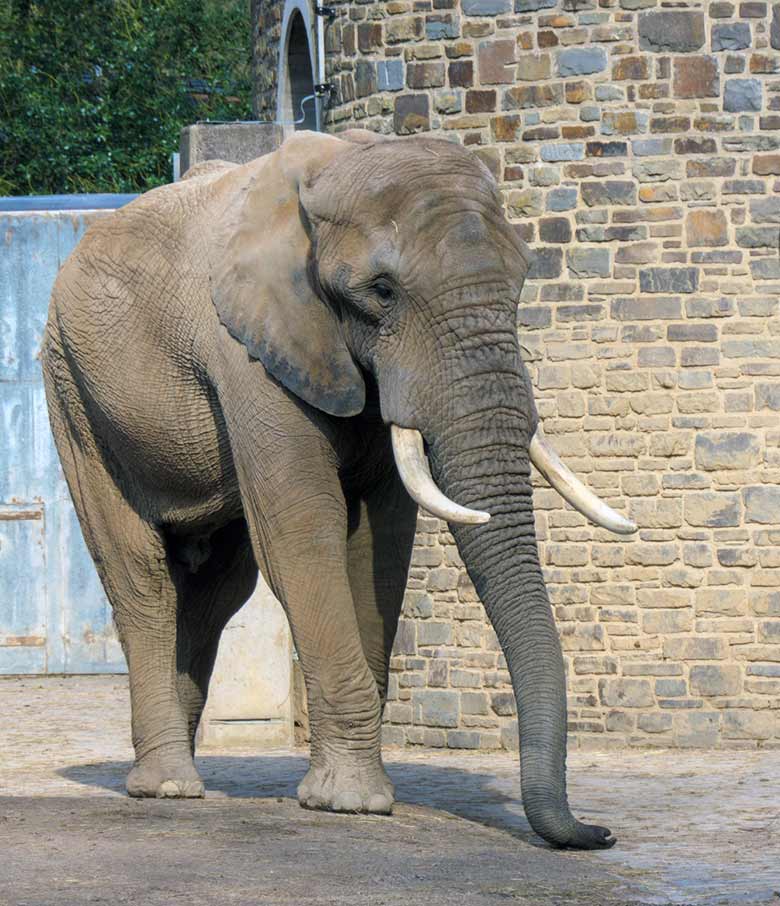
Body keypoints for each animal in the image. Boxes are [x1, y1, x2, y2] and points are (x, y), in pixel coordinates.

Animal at [42, 127, 636, 848]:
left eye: (523, 277)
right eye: (381, 290)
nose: (600, 833)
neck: (336, 170)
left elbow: (379, 543)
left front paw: (349, 792)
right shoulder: (250, 350)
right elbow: (305, 533)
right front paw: (353, 803)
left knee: (217, 589)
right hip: (71, 390)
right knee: (141, 576)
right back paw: (169, 787)